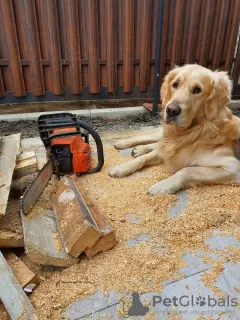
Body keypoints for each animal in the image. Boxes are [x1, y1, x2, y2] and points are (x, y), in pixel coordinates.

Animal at [108, 63, 240, 194]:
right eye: (175, 84)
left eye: (197, 90)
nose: (171, 110)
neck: (194, 132)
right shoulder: (167, 148)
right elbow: (144, 158)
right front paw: (122, 167)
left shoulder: (232, 167)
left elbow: (187, 170)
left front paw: (163, 185)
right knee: (149, 139)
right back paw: (124, 144)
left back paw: (139, 149)